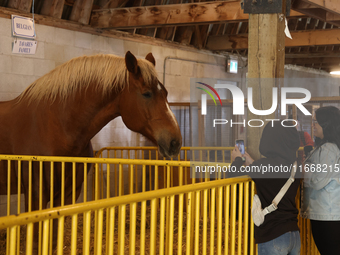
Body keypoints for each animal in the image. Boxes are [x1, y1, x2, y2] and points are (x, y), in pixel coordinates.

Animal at [0, 50, 182, 251]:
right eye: (147, 94)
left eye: (165, 93)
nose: (175, 142)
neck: (55, 127)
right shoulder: (35, 195)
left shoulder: (66, 194)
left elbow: (54, 242)